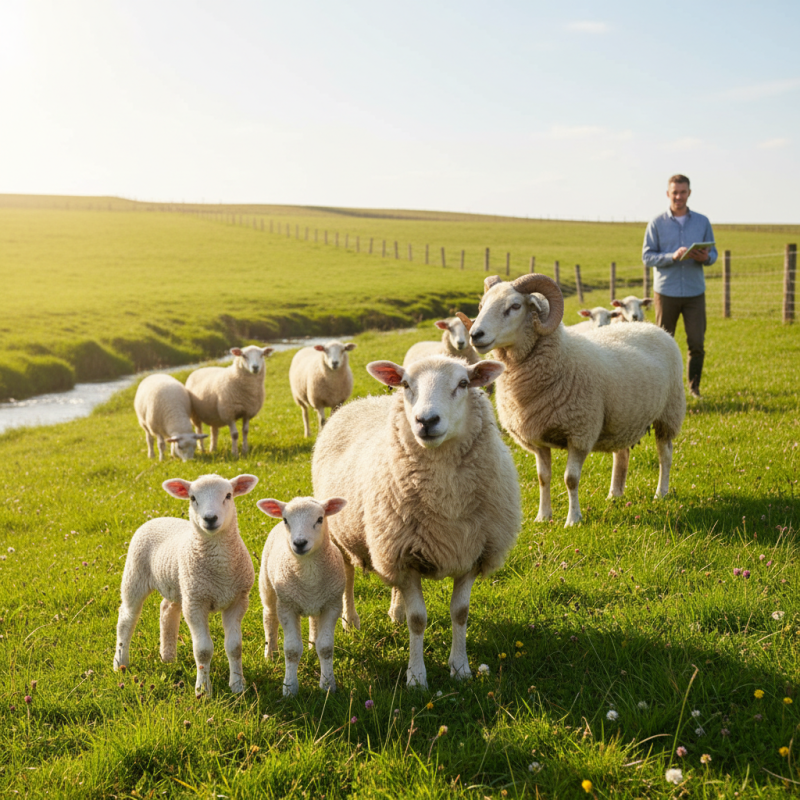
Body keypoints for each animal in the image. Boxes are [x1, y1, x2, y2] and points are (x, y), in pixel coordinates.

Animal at [113, 473, 259, 697]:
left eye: (228, 495)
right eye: (192, 498)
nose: (210, 519)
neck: (220, 570)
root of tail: (158, 517)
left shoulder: (238, 601)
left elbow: (235, 647)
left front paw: (238, 686)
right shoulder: (195, 604)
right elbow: (203, 650)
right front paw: (203, 691)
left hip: (179, 584)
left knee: (167, 609)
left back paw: (168, 657)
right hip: (135, 575)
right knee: (126, 618)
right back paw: (121, 662)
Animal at [256, 495, 347, 695]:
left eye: (320, 519)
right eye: (286, 520)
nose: (299, 543)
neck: (308, 576)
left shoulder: (332, 604)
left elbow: (326, 648)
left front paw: (327, 685)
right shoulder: (287, 606)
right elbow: (291, 650)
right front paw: (290, 688)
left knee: (313, 621)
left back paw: (312, 646)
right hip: (267, 585)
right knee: (269, 617)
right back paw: (270, 654)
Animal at [312, 355, 521, 689]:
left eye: (463, 383)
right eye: (407, 384)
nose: (426, 420)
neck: (446, 497)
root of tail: (361, 401)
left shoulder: (469, 554)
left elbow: (460, 613)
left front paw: (460, 668)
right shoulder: (404, 557)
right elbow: (418, 620)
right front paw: (416, 676)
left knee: (394, 585)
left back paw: (395, 611)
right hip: (341, 535)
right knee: (348, 576)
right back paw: (350, 620)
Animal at [459, 273, 685, 527]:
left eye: (515, 306)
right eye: (481, 305)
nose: (475, 335)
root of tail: (653, 327)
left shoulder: (580, 434)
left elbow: (571, 479)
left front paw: (573, 519)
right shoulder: (537, 439)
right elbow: (543, 478)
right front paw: (543, 516)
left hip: (669, 413)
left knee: (665, 454)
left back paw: (661, 493)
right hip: (623, 419)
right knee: (622, 454)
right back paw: (614, 494)